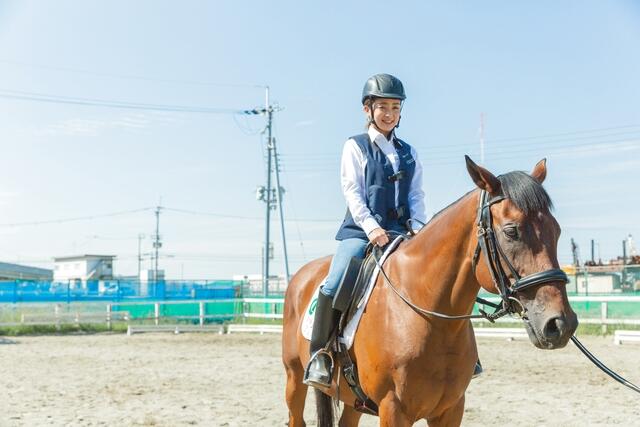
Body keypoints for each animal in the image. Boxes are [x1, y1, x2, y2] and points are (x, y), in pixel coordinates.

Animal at [282, 158, 576, 427]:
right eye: (511, 231)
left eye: (557, 230)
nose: (560, 324)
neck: (431, 317)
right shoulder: (393, 410)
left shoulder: (451, 409)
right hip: (295, 378)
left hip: (353, 400)